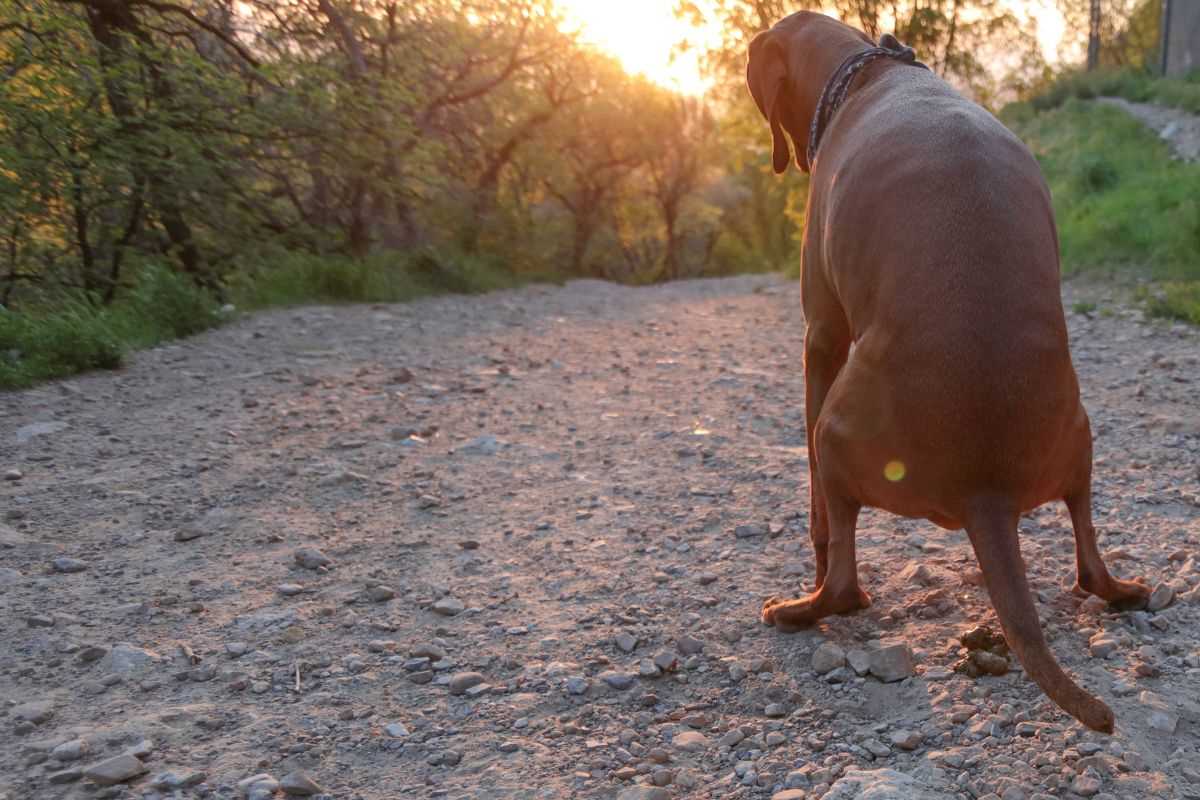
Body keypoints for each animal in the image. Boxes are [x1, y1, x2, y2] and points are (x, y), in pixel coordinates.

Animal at [744, 10, 1147, 734]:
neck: (869, 69)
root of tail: (986, 489)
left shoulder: (822, 337)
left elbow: (818, 516)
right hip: (1080, 436)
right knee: (1087, 547)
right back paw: (1121, 588)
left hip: (836, 429)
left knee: (843, 580)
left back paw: (807, 608)